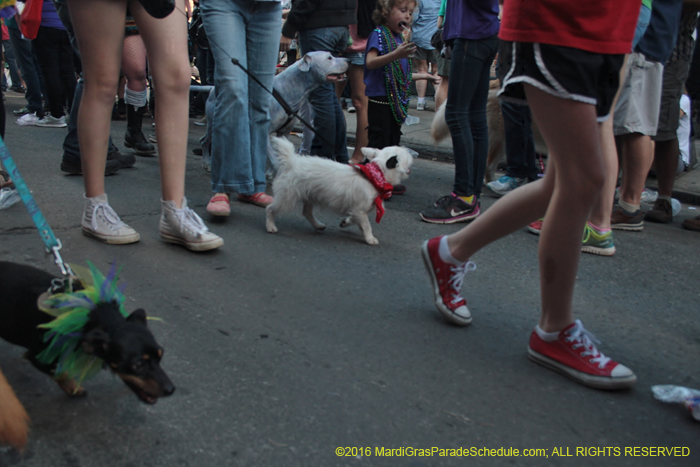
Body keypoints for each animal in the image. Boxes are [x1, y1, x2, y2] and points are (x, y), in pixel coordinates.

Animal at [266, 136, 412, 245]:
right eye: (404, 154)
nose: (408, 149)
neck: (374, 176)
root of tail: (291, 162)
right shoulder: (360, 210)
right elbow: (367, 225)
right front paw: (370, 238)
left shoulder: (357, 211)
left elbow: (353, 220)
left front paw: (345, 222)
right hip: (286, 198)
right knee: (270, 209)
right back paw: (270, 226)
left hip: (309, 195)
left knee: (306, 212)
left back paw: (318, 225)